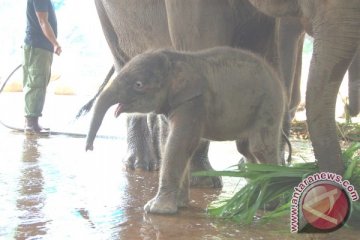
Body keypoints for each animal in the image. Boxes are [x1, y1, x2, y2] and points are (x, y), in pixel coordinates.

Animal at [86, 46, 286, 214]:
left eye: (138, 85)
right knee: (245, 149)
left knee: (259, 148)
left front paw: (156, 209)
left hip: (268, 106)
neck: (177, 58)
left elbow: (179, 143)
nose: (89, 148)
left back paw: (269, 204)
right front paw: (180, 205)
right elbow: (168, 141)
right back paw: (254, 198)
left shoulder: (193, 102)